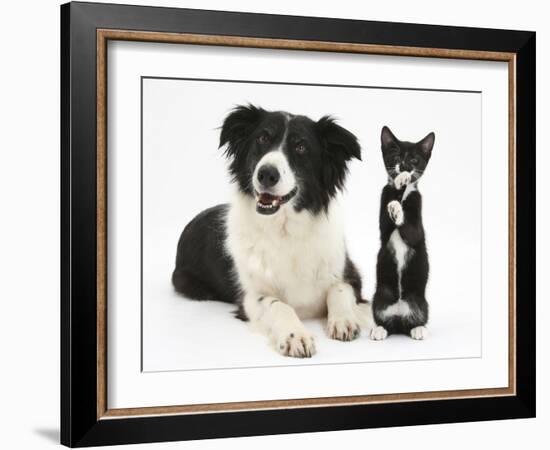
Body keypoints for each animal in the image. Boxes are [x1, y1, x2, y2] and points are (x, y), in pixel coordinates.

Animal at [171, 103, 376, 356]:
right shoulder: (250, 297)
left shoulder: (350, 274)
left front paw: (343, 320)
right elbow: (278, 305)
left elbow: (338, 290)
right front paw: (295, 335)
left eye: (300, 147)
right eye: (262, 138)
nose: (267, 173)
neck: (285, 229)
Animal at [370, 125, 436, 340]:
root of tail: (399, 317)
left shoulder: (417, 223)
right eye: (397, 156)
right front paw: (399, 185)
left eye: (414, 160)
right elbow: (386, 223)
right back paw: (379, 329)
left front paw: (402, 185)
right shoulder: (383, 224)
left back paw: (419, 329)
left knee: (416, 320)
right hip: (380, 296)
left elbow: (413, 232)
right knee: (385, 321)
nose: (405, 168)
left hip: (420, 301)